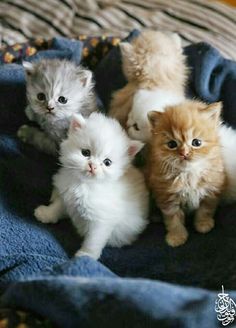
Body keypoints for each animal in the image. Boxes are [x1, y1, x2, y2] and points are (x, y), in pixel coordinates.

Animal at [34, 112, 149, 258]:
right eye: (86, 153)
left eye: (107, 162)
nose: (92, 166)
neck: (83, 185)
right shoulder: (66, 198)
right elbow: (57, 207)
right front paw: (46, 214)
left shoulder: (101, 221)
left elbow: (93, 241)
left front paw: (85, 256)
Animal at [147, 101, 226, 247]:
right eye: (172, 144)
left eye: (196, 142)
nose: (184, 153)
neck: (189, 174)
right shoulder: (167, 198)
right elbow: (173, 220)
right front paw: (177, 237)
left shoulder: (211, 189)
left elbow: (205, 209)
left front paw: (203, 224)